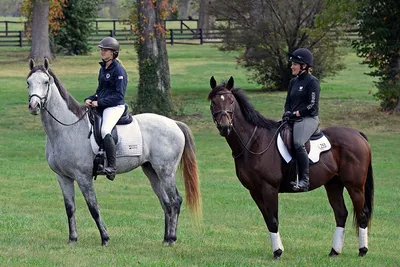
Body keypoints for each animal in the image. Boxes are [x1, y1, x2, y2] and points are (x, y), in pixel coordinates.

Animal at [208, 76, 374, 260]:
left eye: (231, 101)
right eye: (213, 102)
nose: (224, 127)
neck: (254, 142)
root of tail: (358, 134)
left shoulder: (269, 188)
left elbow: (274, 220)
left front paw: (277, 252)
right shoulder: (255, 191)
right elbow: (268, 220)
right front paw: (278, 249)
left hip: (355, 186)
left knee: (362, 214)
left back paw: (363, 250)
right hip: (333, 184)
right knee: (341, 213)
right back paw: (334, 251)